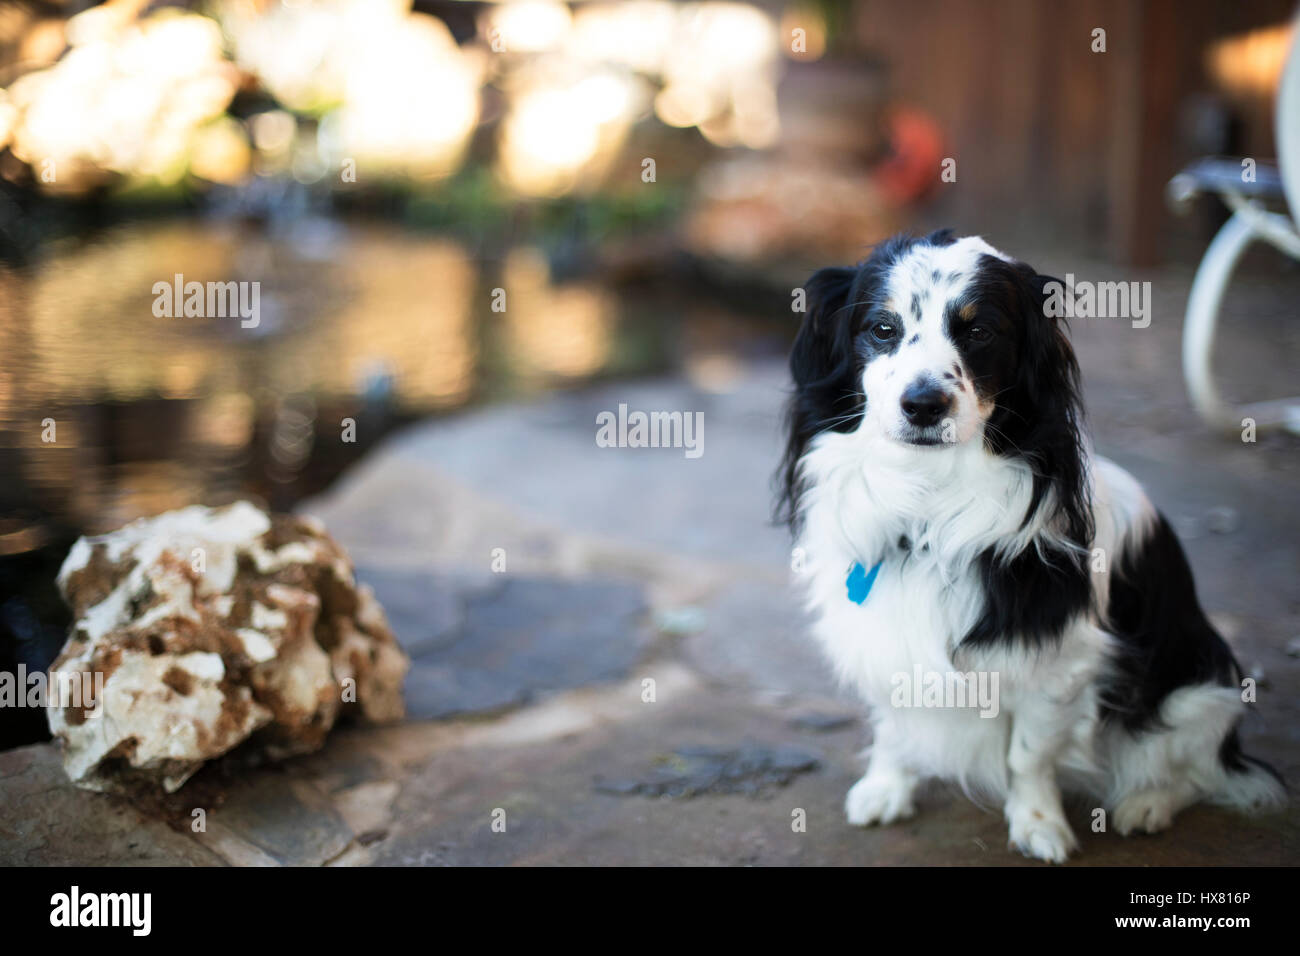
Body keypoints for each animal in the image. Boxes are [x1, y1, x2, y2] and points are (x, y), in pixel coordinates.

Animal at [774, 230, 1284, 858]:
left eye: (979, 332)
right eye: (882, 329)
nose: (923, 405)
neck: (928, 505)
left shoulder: (1062, 663)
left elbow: (1029, 755)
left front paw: (1039, 825)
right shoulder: (883, 640)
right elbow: (894, 724)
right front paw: (886, 787)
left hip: (1200, 696)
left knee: (1195, 769)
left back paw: (1146, 804)